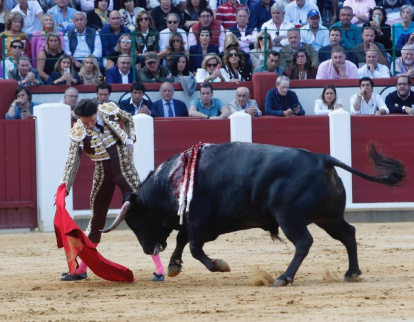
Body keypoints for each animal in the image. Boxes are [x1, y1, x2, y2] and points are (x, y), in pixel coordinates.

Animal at [102, 142, 406, 286]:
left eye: (134, 220)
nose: (147, 249)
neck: (173, 179)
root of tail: (323, 158)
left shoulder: (199, 221)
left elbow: (195, 248)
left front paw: (220, 266)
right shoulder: (192, 222)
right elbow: (182, 242)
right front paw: (175, 266)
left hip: (290, 218)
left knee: (304, 243)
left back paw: (284, 278)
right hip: (328, 218)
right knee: (348, 234)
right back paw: (352, 272)